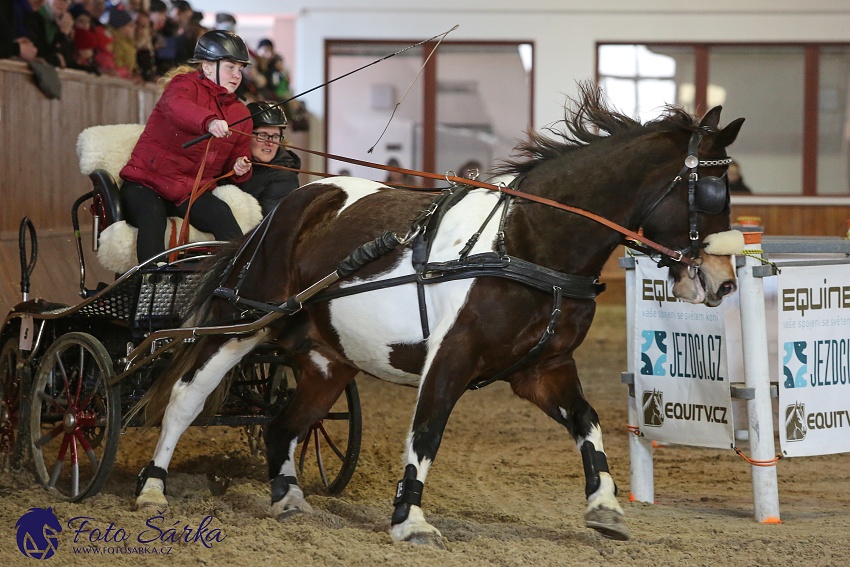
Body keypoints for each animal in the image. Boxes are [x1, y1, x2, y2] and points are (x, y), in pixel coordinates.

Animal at [131, 86, 744, 548]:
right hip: (244, 323)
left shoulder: (542, 369)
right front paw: (411, 520)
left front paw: (606, 507)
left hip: (329, 359)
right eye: (714, 191)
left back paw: (288, 499)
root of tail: (289, 205)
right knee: (185, 399)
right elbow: (427, 429)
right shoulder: (451, 355)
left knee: (284, 424)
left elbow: (588, 423)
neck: (523, 243)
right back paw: (152, 488)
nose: (724, 280)